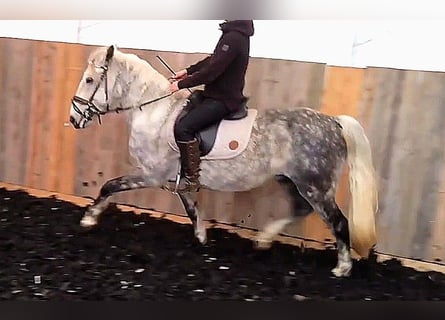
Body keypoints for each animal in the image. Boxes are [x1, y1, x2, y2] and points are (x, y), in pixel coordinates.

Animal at [67, 45, 376, 278]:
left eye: (90, 80)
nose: (74, 118)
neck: (156, 111)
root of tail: (334, 122)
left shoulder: (151, 174)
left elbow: (110, 186)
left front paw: (88, 219)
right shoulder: (180, 178)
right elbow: (191, 207)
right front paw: (202, 238)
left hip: (315, 185)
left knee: (338, 221)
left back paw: (342, 268)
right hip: (290, 180)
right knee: (301, 210)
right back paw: (263, 240)